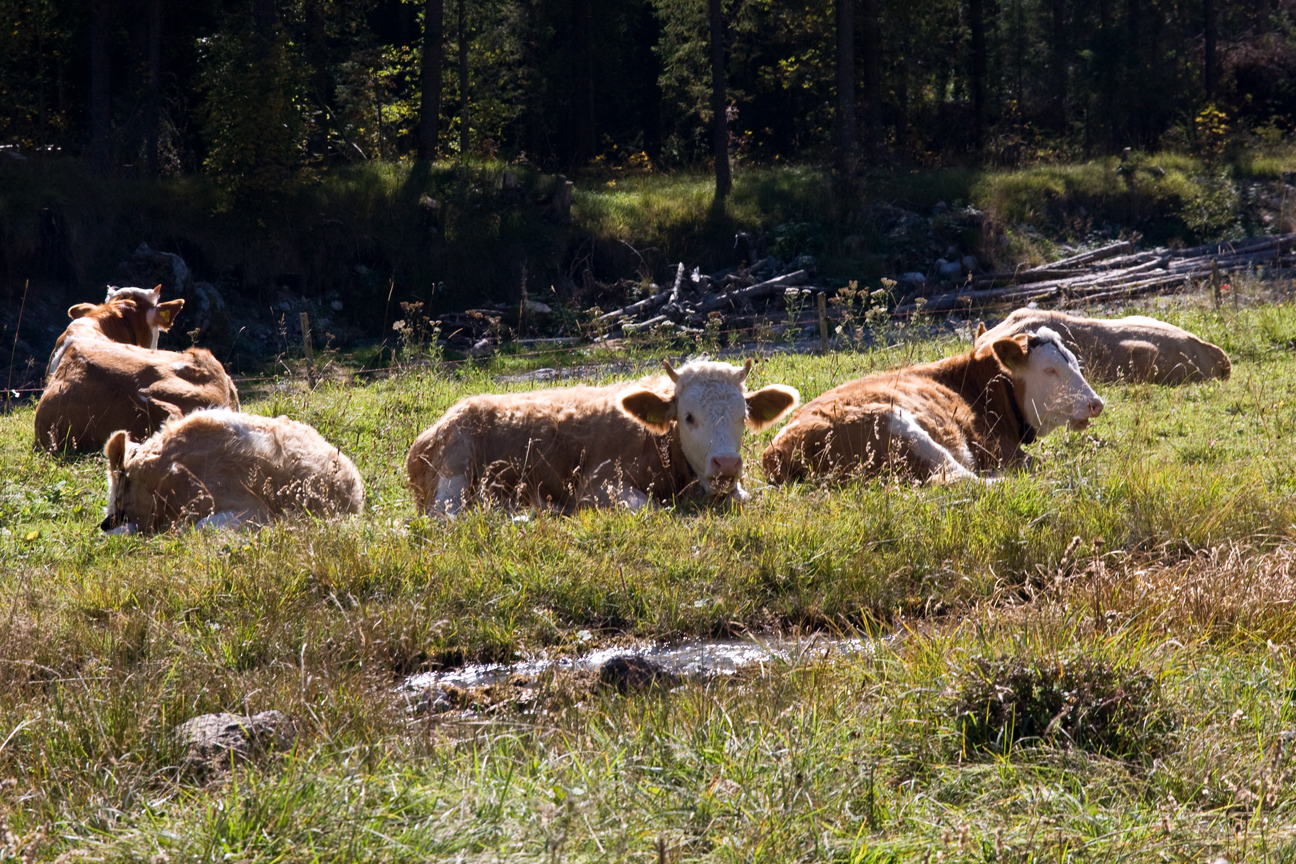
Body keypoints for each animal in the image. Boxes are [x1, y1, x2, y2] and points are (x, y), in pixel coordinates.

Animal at [406, 358, 800, 517]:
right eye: (689, 417)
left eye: (742, 415)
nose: (727, 464)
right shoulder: (599, 484)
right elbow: (649, 510)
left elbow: (744, 497)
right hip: (453, 478)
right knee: (452, 517)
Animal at [761, 326, 1104, 485]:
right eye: (1050, 370)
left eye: (1075, 361)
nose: (1096, 404)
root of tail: (777, 449)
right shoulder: (997, 447)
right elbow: (1036, 463)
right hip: (901, 428)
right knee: (959, 480)